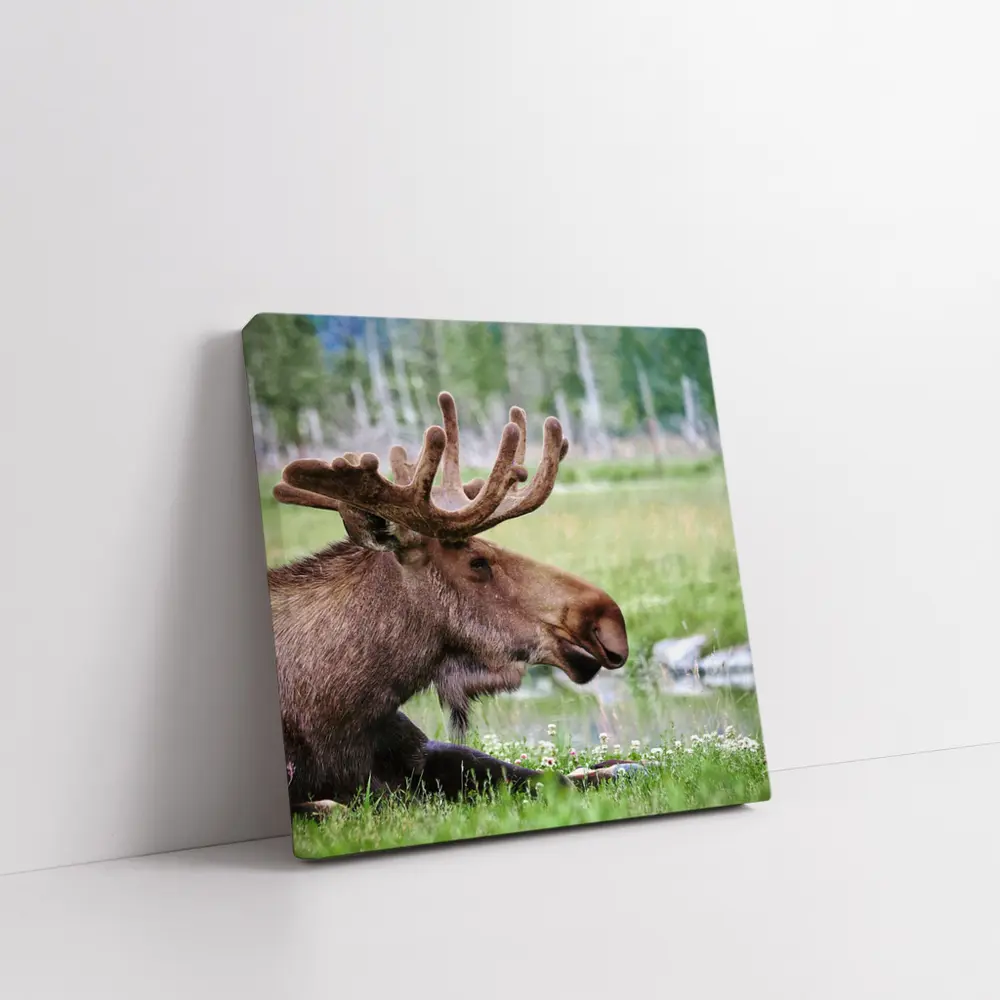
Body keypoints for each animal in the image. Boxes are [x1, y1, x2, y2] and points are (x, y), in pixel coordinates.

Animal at [266, 391, 630, 814]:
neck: (342, 713)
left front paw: (611, 764)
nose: (608, 620)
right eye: (478, 562)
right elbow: (333, 806)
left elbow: (548, 776)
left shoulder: (417, 748)